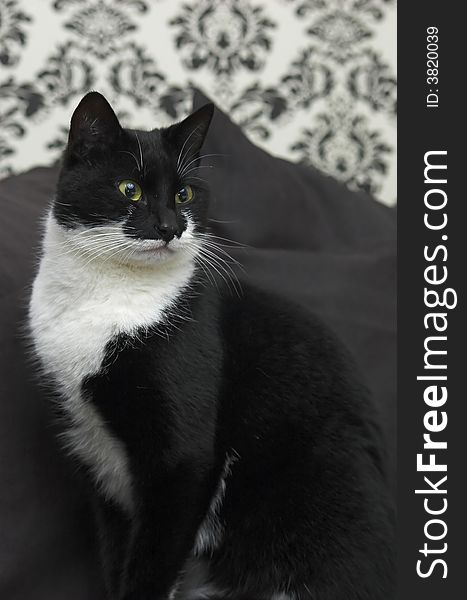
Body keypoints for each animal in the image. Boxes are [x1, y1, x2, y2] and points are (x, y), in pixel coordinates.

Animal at [28, 92, 394, 600]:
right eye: (129, 189)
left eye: (184, 194)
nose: (169, 225)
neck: (107, 297)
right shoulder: (95, 458)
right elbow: (117, 554)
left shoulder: (182, 462)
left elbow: (154, 559)